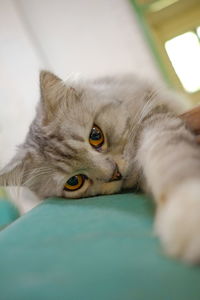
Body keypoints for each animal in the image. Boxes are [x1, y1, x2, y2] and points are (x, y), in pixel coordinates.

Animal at [0, 70, 200, 262]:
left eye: (96, 136)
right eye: (74, 182)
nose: (115, 173)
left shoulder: (154, 120)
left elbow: (169, 154)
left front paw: (188, 212)